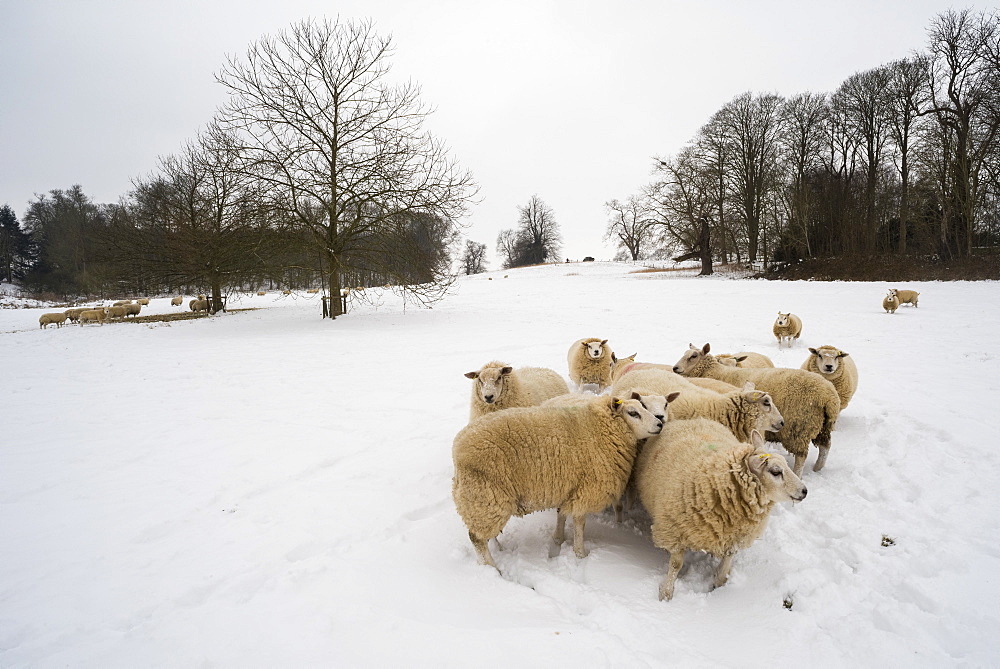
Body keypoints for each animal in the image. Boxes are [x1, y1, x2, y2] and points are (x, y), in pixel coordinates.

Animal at [456, 388, 672, 568]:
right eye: (633, 413)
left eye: (644, 407)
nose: (660, 424)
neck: (599, 429)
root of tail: (458, 447)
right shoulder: (586, 490)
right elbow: (579, 524)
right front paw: (581, 554)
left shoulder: (568, 486)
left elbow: (562, 514)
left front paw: (558, 539)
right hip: (485, 495)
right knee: (476, 538)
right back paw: (492, 568)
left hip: (484, 501)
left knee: (483, 534)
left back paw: (498, 549)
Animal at [636, 418, 808, 600]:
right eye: (775, 472)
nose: (804, 491)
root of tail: (690, 420)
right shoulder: (674, 531)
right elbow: (676, 564)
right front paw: (666, 593)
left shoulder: (734, 536)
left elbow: (727, 559)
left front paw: (719, 582)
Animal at [672, 344, 844, 474]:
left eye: (693, 356)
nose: (675, 368)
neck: (716, 372)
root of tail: (830, 397)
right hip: (823, 426)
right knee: (825, 447)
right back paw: (817, 468)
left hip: (800, 427)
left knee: (801, 457)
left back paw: (798, 474)